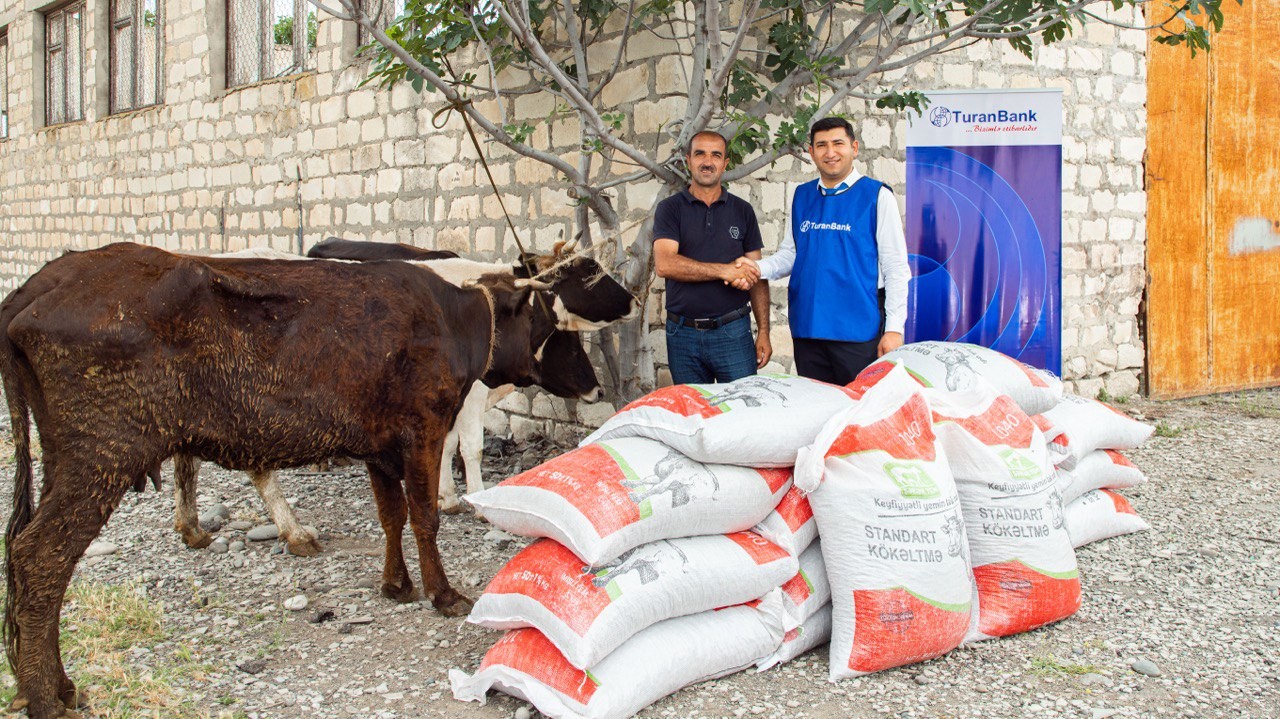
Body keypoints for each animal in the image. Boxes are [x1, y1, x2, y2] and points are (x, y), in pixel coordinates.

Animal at [0, 241, 542, 716]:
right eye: (542, 319)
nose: (541, 374)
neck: (452, 316)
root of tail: (46, 281)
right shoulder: (423, 430)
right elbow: (424, 517)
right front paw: (443, 595)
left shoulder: (381, 448)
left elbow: (391, 517)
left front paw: (396, 585)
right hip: (101, 458)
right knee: (41, 556)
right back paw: (47, 699)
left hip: (62, 458)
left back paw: (59, 686)